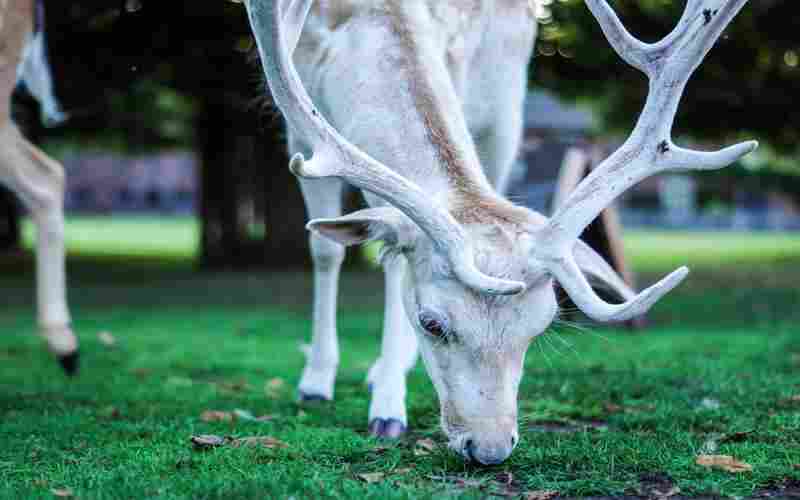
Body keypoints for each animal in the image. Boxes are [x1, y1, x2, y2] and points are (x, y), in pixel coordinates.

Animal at [247, 0, 760, 464]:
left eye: (541, 326)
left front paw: (388, 400)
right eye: (431, 323)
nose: (490, 449)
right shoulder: (301, 135)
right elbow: (329, 251)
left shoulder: (487, 90)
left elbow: (394, 261)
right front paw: (323, 384)